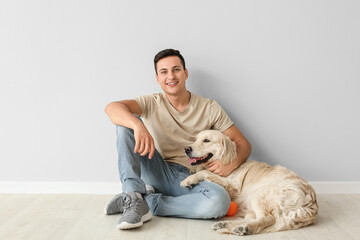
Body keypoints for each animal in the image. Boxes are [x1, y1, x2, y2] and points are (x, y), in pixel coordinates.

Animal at [180, 130, 318, 235]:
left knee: (267, 218)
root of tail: (311, 204)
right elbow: (201, 169)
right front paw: (193, 170)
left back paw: (245, 228)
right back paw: (226, 225)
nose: (186, 149)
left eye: (207, 140)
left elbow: (205, 172)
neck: (226, 161)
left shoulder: (232, 186)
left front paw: (188, 180)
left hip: (259, 193)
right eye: (196, 139)